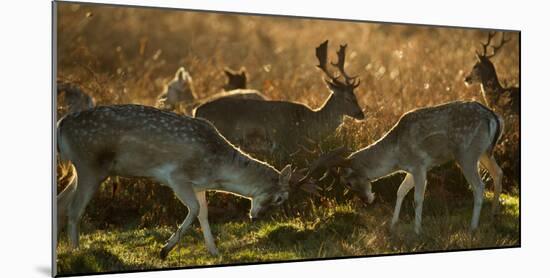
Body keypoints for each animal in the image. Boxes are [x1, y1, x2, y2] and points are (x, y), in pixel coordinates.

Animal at [55, 104, 298, 258]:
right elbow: (195, 209)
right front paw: (164, 250)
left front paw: (214, 251)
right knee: (74, 209)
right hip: (90, 165)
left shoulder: (198, 185)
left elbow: (204, 214)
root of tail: (61, 124)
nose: (256, 217)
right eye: (280, 198)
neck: (216, 171)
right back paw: (77, 251)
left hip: (82, 169)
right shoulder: (176, 176)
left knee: (61, 202)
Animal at [194, 40, 366, 160]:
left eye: (355, 95)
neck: (308, 125)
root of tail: (197, 111)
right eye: (347, 98)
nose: (361, 114)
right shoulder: (286, 145)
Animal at [310, 101, 504, 233]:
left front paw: (417, 230)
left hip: (467, 154)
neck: (396, 156)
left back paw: (473, 227)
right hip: (485, 152)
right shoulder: (413, 169)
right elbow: (400, 191)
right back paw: (493, 216)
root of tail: (493, 117)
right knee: (498, 173)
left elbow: (417, 198)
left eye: (347, 183)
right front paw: (392, 225)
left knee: (479, 186)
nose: (366, 200)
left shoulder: (419, 165)